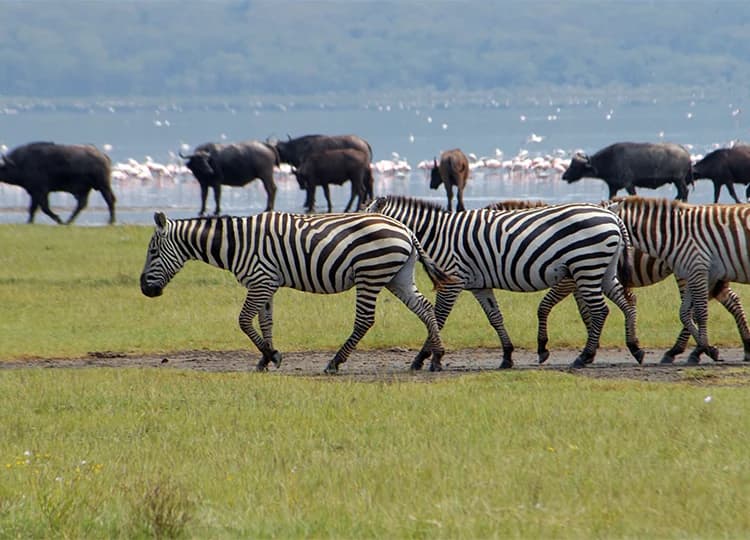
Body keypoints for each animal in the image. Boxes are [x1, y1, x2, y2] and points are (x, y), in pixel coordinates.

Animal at [139, 211, 453, 373]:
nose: (144, 289)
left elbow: (243, 321)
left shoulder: (260, 280)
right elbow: (265, 321)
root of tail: (405, 229)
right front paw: (265, 358)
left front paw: (272, 355)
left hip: (370, 273)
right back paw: (436, 357)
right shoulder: (266, 284)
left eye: (152, 252)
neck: (236, 244)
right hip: (397, 276)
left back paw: (335, 362)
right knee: (426, 308)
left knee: (365, 320)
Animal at [365, 195, 642, 368]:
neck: (437, 234)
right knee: (626, 301)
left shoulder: (452, 280)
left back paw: (585, 357)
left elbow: (438, 318)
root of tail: (612, 215)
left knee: (601, 311)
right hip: (601, 269)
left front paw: (426, 358)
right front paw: (507, 356)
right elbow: (495, 317)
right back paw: (635, 348)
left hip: (587, 265)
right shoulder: (479, 284)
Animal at [562, 142, 693, 201]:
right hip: (676, 181)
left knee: (685, 191)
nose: (564, 176)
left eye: (574, 166)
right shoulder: (613, 187)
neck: (609, 159)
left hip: (678, 179)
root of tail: (686, 153)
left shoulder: (628, 184)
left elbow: (633, 195)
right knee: (680, 193)